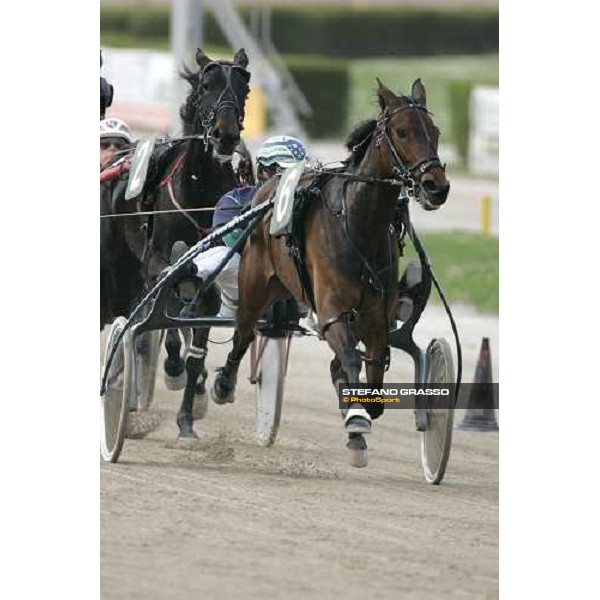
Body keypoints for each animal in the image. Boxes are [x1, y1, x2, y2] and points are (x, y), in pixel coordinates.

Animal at [102, 47, 252, 438]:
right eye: (207, 85)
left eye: (244, 90)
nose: (226, 136)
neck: (198, 189)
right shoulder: (157, 262)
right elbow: (169, 314)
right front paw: (172, 368)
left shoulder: (214, 271)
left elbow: (198, 337)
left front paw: (188, 414)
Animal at [211, 77, 450, 466]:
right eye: (402, 131)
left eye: (436, 132)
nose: (436, 186)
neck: (358, 221)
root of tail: (266, 190)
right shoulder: (332, 312)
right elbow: (352, 359)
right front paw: (356, 425)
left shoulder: (375, 317)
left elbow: (375, 371)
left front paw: (357, 407)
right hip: (255, 283)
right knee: (243, 331)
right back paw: (223, 383)